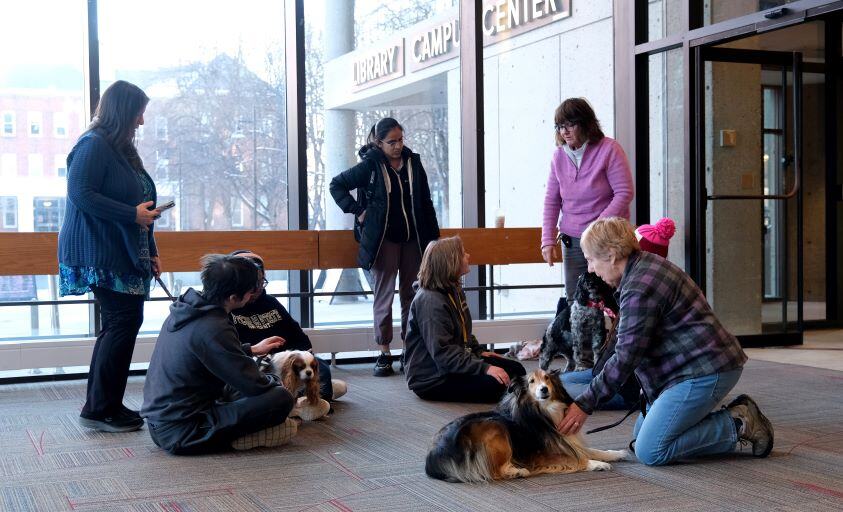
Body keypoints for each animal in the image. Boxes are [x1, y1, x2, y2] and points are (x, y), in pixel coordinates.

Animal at [426, 368, 628, 480]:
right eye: (532, 381)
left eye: (547, 379)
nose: (544, 389)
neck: (545, 411)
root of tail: (435, 454)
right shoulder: (541, 456)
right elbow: (576, 459)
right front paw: (597, 464)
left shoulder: (567, 443)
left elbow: (591, 451)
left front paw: (616, 454)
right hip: (496, 429)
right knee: (494, 471)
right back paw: (517, 472)